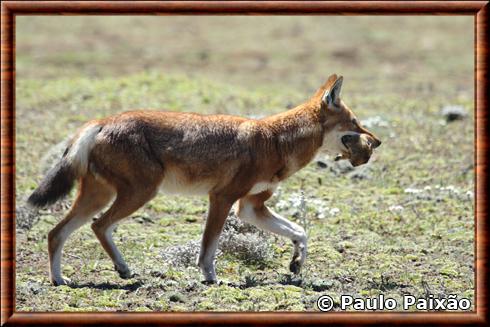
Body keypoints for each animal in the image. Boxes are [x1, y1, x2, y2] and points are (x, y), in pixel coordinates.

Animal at [28, 75, 382, 288]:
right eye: (356, 123)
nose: (377, 142)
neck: (276, 141)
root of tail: (102, 121)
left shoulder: (250, 207)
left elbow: (300, 232)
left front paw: (296, 264)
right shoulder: (223, 199)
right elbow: (208, 249)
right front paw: (210, 278)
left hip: (100, 197)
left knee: (56, 233)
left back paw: (61, 280)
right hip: (138, 194)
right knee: (98, 226)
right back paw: (119, 270)